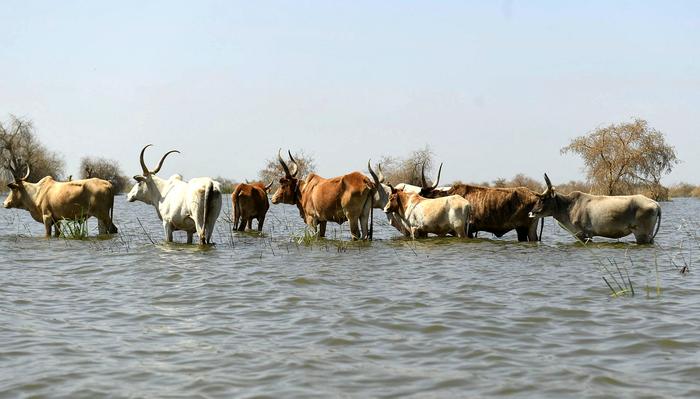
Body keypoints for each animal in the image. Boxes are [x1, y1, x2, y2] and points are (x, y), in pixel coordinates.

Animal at [532, 174, 660, 245]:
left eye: (543, 198)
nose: (532, 213)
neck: (568, 206)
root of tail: (655, 203)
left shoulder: (584, 234)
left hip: (642, 234)